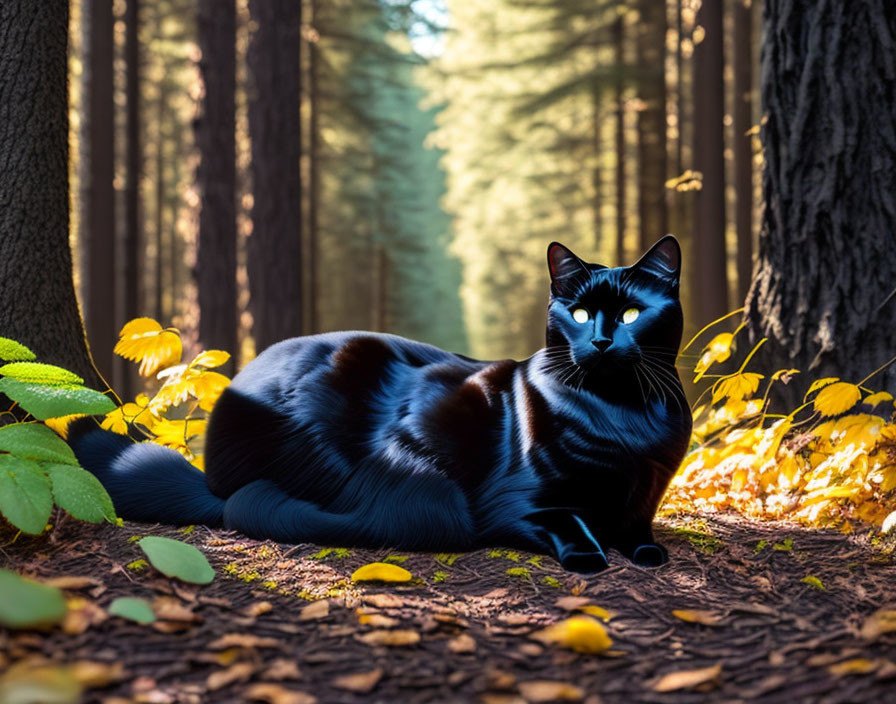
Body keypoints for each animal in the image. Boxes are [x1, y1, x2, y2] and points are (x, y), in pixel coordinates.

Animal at [73, 236, 696, 572]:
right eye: (581, 313)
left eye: (632, 314)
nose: (601, 341)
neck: (622, 416)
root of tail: (213, 480)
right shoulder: (513, 501)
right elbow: (568, 517)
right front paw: (590, 555)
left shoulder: (649, 486)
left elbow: (637, 523)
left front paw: (646, 551)